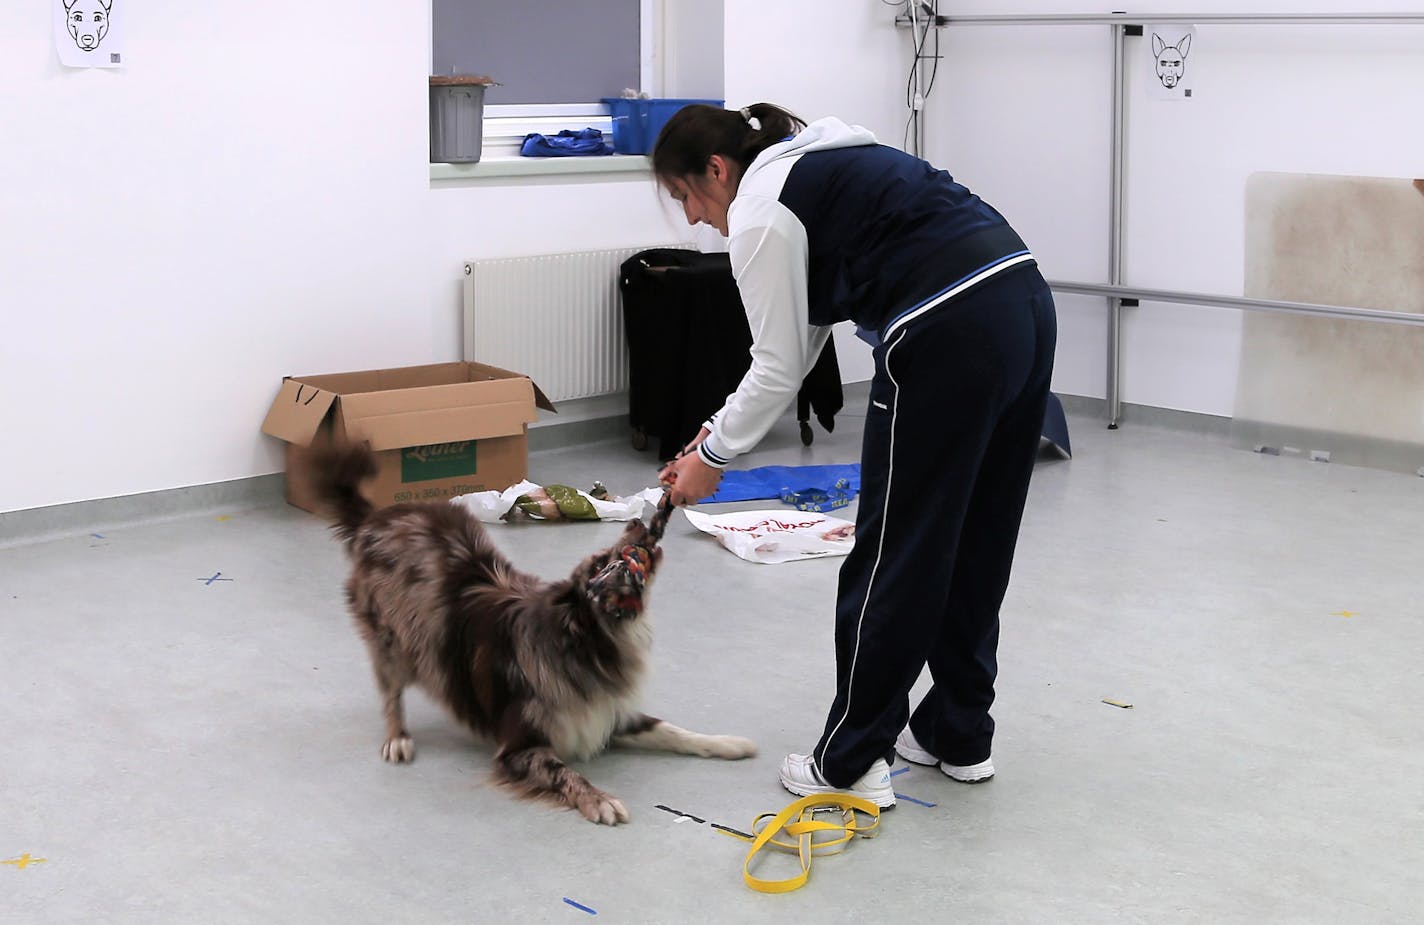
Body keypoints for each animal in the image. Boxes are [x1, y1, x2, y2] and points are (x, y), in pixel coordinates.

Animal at [304, 441, 757, 819]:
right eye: (601, 563)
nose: (637, 525)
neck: (584, 644)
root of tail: (375, 518)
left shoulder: (610, 715)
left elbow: (673, 731)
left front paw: (727, 743)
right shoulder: (520, 747)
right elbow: (564, 773)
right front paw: (599, 799)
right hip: (392, 640)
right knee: (390, 692)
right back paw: (397, 737)